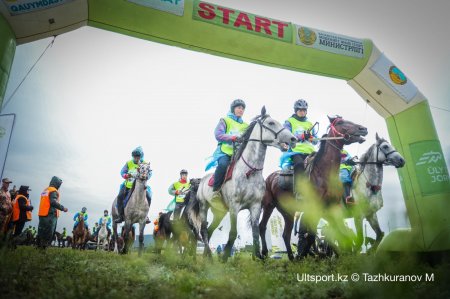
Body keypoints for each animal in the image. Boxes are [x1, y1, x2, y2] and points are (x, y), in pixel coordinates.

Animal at [189, 108, 296, 262]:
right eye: (271, 123)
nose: (293, 139)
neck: (249, 172)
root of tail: (201, 181)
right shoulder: (235, 206)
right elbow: (233, 232)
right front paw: (225, 258)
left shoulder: (256, 206)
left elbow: (255, 232)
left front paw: (258, 257)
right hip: (204, 206)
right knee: (204, 230)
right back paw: (209, 255)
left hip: (219, 212)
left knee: (210, 230)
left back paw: (206, 257)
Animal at [258, 115, 368, 260]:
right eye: (340, 122)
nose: (363, 129)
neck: (323, 173)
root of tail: (269, 178)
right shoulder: (315, 209)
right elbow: (310, 236)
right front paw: (307, 254)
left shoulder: (334, 207)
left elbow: (341, 233)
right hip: (268, 205)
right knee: (262, 227)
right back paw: (265, 254)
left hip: (288, 212)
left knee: (286, 234)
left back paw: (292, 258)